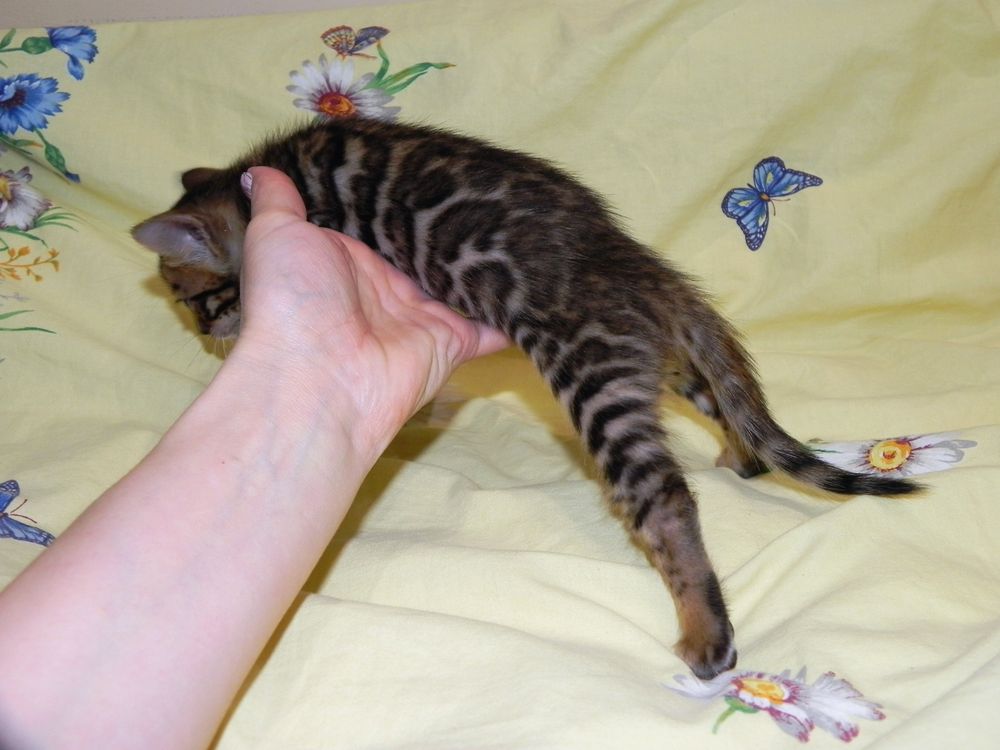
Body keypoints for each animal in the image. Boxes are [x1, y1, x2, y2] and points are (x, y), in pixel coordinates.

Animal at [132, 117, 917, 680]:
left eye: (191, 298)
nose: (206, 335)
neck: (266, 183)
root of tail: (645, 267)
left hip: (591, 377)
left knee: (666, 501)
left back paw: (706, 634)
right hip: (660, 363)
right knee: (727, 399)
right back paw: (742, 455)